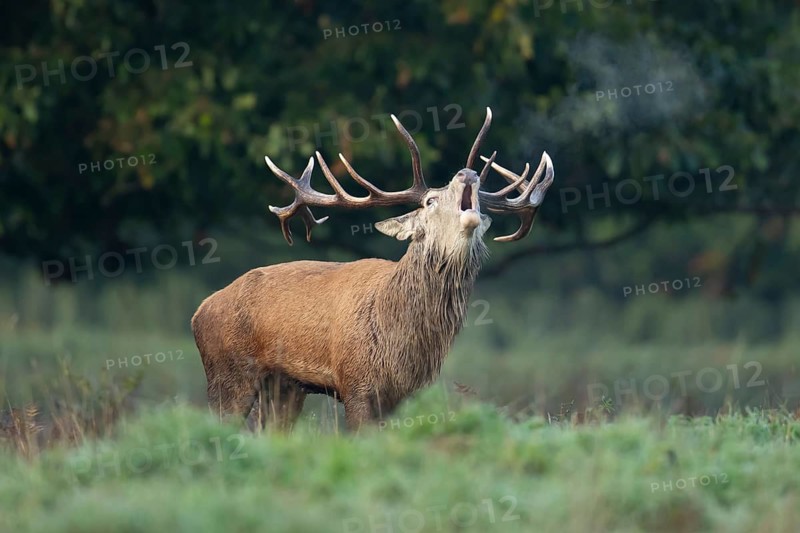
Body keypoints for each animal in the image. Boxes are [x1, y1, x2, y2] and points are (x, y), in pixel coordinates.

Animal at [191, 107, 554, 430]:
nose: (469, 174)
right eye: (430, 201)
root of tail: (199, 312)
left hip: (284, 386)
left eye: (476, 195)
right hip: (228, 372)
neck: (400, 342)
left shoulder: (408, 394)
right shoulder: (356, 383)